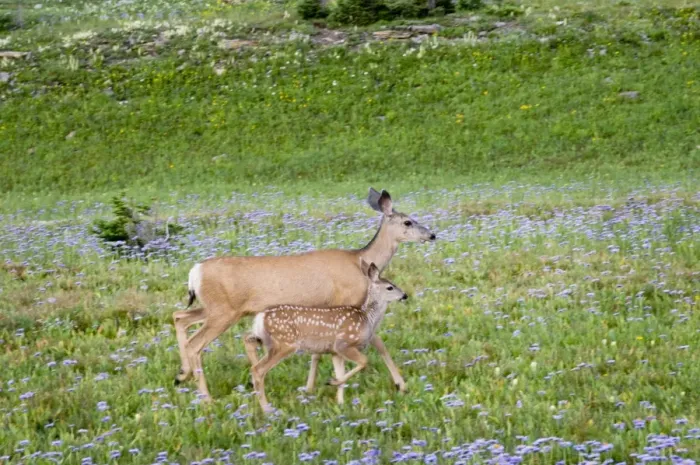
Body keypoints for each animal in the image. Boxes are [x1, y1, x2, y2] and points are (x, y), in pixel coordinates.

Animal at [244, 260, 407, 412]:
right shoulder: (343, 344)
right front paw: (332, 383)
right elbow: (364, 361)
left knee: (249, 342)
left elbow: (341, 373)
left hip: (265, 339)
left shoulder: (335, 352)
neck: (367, 318)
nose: (405, 295)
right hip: (285, 343)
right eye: (390, 287)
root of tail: (261, 316)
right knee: (258, 369)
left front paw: (340, 402)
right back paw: (267, 409)